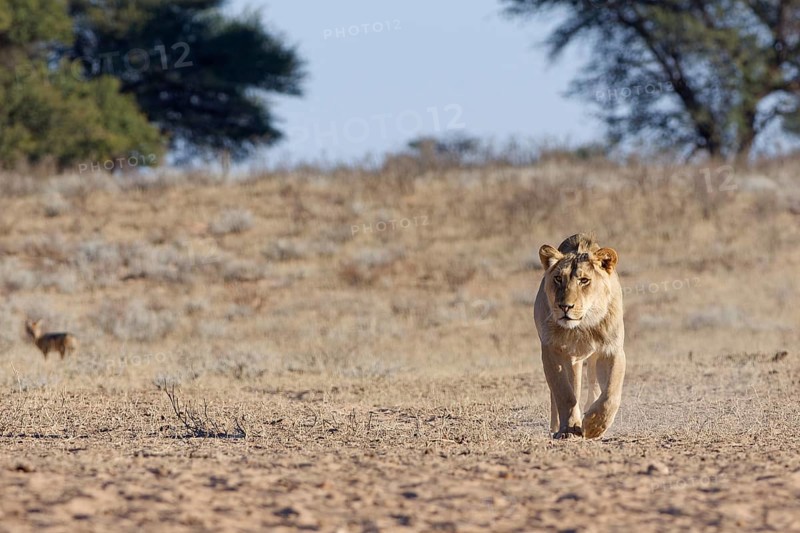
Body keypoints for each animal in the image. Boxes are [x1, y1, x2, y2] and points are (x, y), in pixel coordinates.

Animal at [533, 233, 625, 439]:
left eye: (584, 280)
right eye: (558, 278)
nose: (564, 306)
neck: (582, 326)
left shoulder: (612, 350)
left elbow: (610, 393)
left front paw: (594, 425)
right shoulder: (552, 350)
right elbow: (564, 393)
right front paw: (568, 429)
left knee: (593, 385)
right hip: (571, 359)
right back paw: (558, 426)